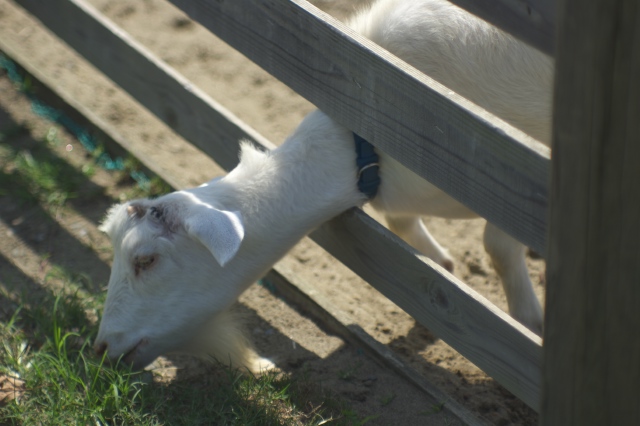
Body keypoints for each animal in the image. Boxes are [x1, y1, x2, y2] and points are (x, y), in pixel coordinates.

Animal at [92, 0, 552, 372]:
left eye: (146, 260)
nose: (100, 348)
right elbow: (407, 228)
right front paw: (443, 265)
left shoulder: (518, 178)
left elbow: (497, 245)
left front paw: (529, 321)